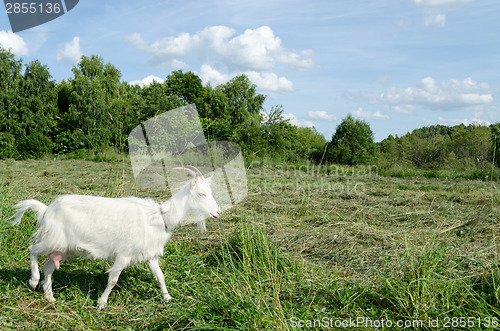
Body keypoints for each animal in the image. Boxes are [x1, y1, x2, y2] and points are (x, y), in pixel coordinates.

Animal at [8, 166, 220, 312]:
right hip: (53, 239)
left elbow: (160, 276)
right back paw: (34, 281)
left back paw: (49, 296)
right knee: (32, 250)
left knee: (48, 266)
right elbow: (113, 279)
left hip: (62, 248)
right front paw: (101, 303)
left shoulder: (149, 254)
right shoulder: (124, 254)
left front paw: (167, 298)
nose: (217, 212)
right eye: (201, 194)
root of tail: (46, 210)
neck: (159, 217)